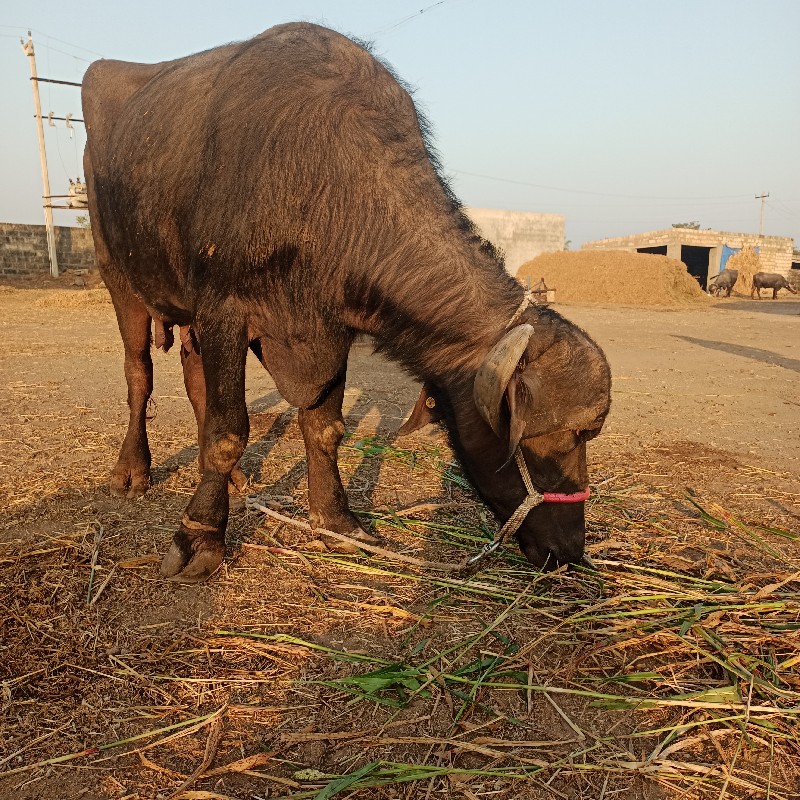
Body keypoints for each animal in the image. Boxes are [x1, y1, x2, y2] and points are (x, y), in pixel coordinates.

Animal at [83, 23, 612, 580]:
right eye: (569, 435)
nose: (569, 550)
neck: (320, 189)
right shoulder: (224, 311)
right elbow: (226, 434)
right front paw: (199, 535)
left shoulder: (328, 330)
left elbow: (324, 426)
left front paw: (335, 518)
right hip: (118, 277)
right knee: (139, 375)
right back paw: (132, 470)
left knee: (193, 378)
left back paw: (236, 482)